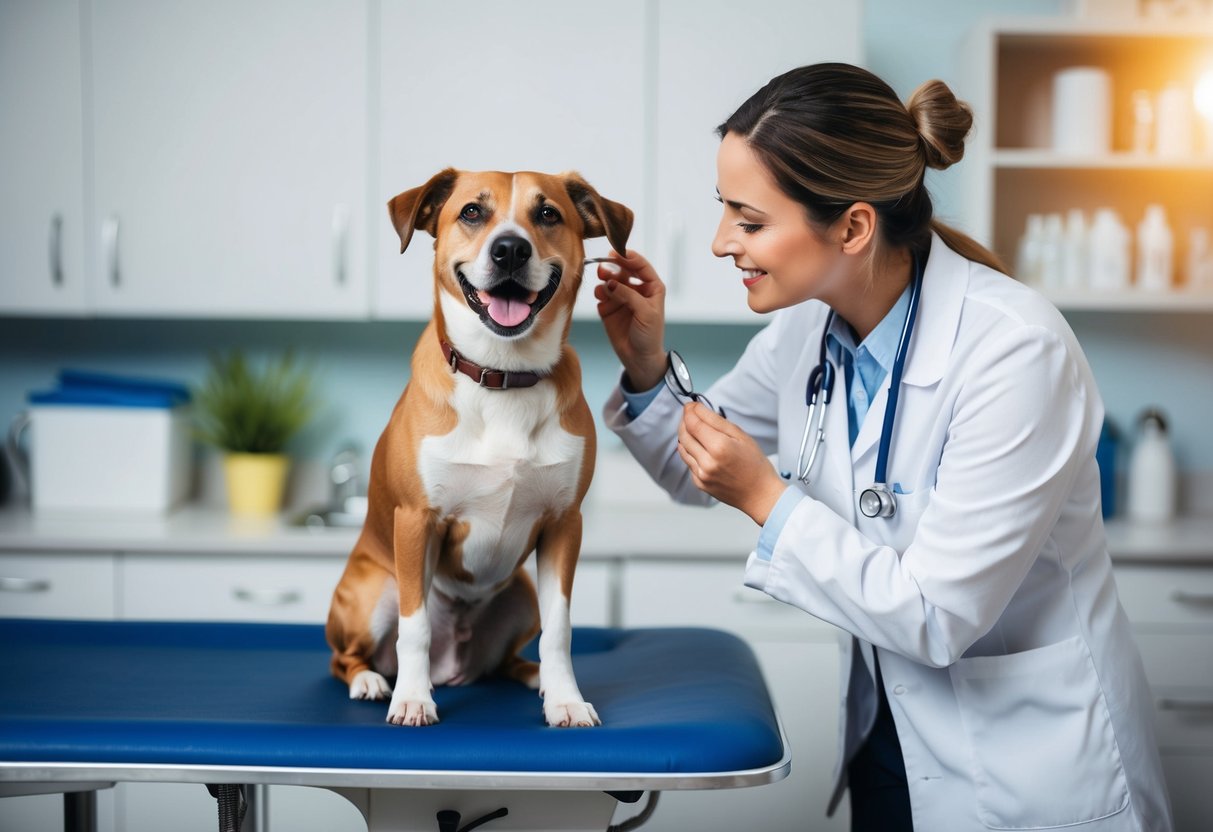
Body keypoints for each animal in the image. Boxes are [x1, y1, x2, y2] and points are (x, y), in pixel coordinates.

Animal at [327, 169, 635, 727]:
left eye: (548, 214)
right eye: (472, 212)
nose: (510, 249)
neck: (502, 374)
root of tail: (454, 665)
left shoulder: (564, 525)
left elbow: (560, 631)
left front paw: (565, 699)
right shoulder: (416, 521)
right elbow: (415, 627)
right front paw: (412, 699)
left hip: (523, 595)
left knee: (507, 660)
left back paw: (534, 678)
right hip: (372, 591)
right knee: (348, 656)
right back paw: (372, 681)